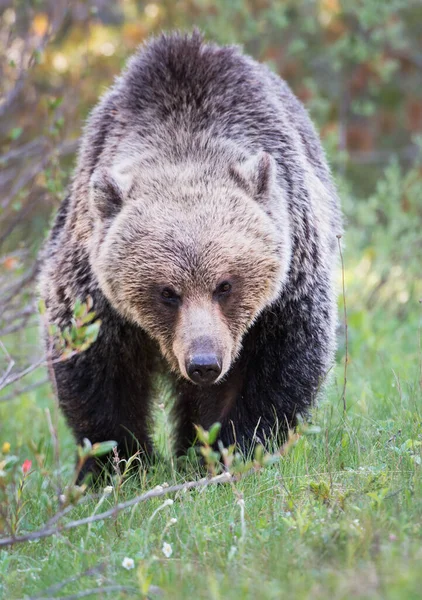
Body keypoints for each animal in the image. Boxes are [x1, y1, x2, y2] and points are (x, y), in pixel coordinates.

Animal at [38, 30, 342, 478]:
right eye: (167, 292)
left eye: (225, 285)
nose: (203, 363)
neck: (185, 136)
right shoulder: (92, 284)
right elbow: (97, 369)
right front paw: (119, 463)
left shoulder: (286, 288)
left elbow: (274, 369)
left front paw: (229, 451)